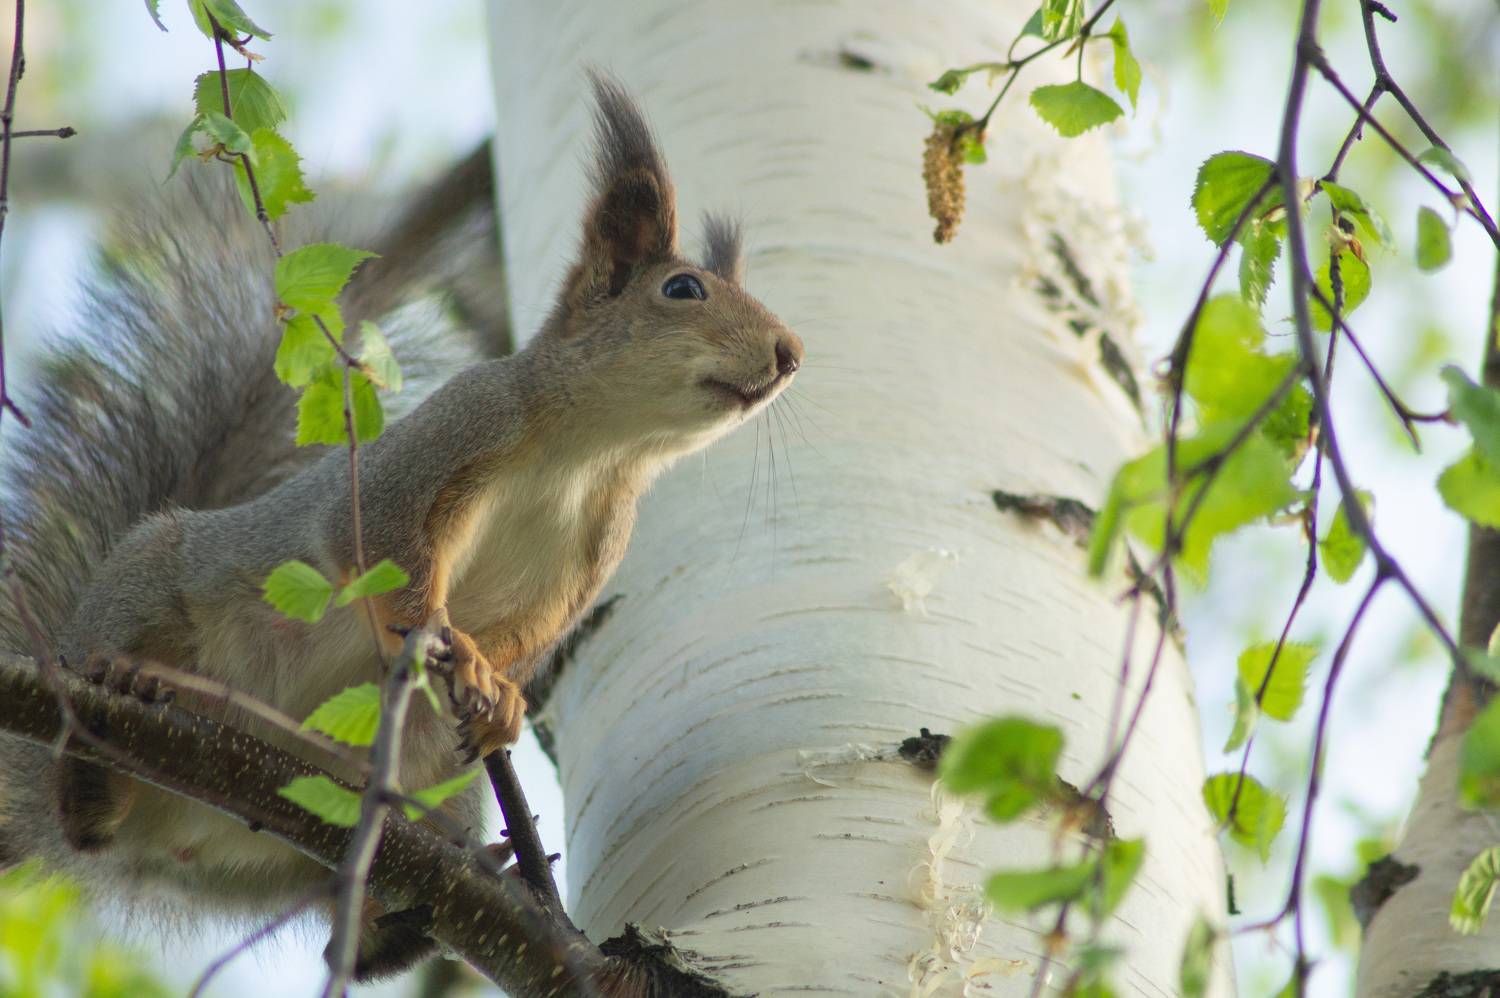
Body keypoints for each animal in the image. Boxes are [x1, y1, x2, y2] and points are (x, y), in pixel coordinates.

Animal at [0, 73, 802, 980]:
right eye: (683, 290)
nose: (790, 353)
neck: (592, 454)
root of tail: (173, 836)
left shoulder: (594, 551)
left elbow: (529, 636)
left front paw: (498, 691)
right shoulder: (443, 442)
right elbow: (379, 553)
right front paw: (448, 642)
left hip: (390, 802)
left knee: (340, 941)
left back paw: (423, 900)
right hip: (145, 587)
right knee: (85, 808)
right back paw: (114, 724)